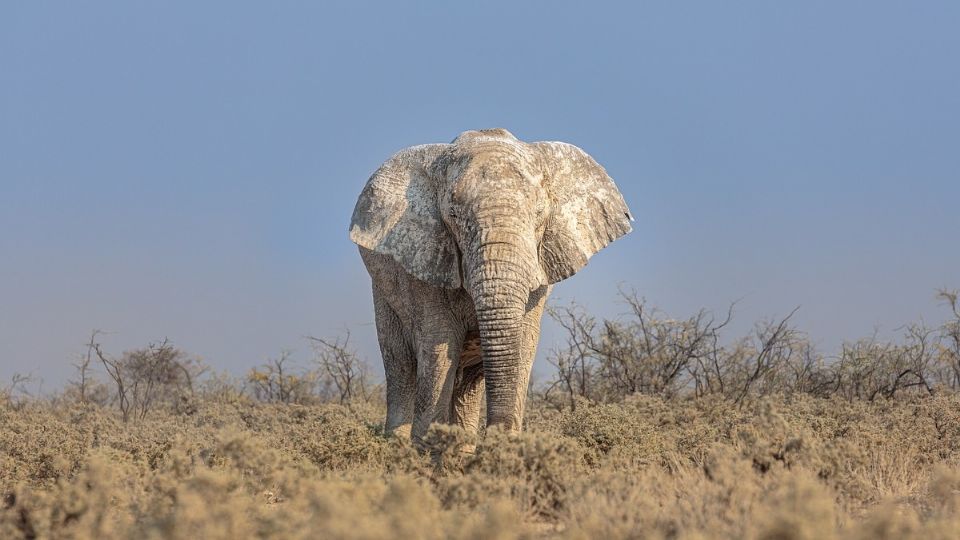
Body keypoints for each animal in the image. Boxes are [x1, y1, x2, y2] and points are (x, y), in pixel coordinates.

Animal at [348, 129, 632, 446]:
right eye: (453, 216)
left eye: (539, 214)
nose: (496, 436)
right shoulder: (425, 261)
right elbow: (438, 345)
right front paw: (425, 451)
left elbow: (524, 345)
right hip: (383, 293)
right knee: (401, 365)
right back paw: (397, 445)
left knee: (468, 383)